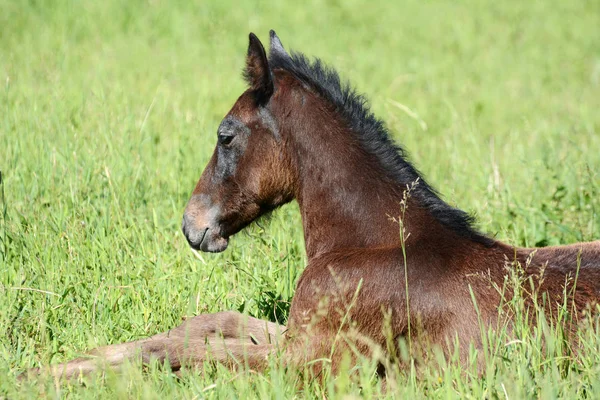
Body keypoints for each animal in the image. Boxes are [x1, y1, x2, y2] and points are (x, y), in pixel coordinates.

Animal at [28, 31, 600, 382]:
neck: (374, 245)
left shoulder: (308, 361)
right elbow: (210, 323)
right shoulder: (296, 334)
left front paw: (46, 375)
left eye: (225, 135)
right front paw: (69, 362)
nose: (193, 225)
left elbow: (186, 351)